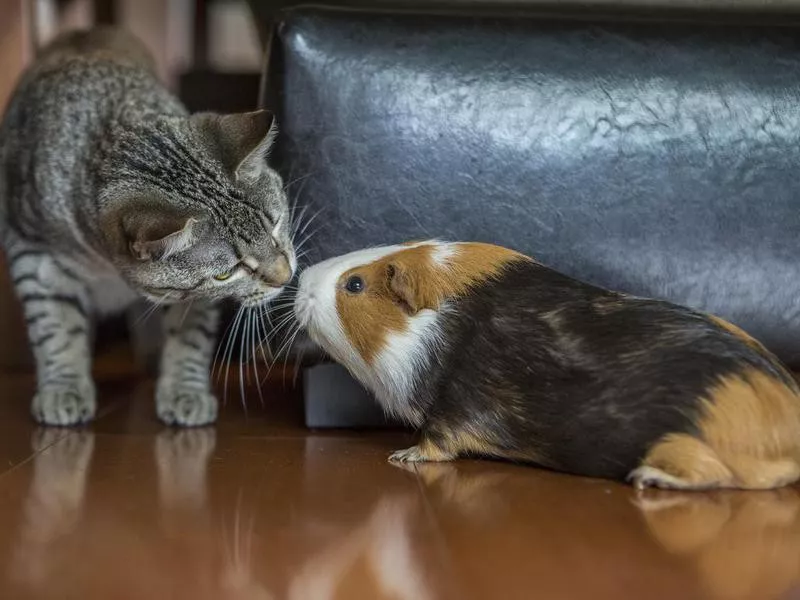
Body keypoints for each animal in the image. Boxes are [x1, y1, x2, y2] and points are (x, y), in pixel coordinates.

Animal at [0, 27, 296, 426]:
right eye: (226, 273)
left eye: (276, 224)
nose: (285, 276)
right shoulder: (33, 253)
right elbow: (56, 326)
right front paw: (65, 388)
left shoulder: (190, 298)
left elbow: (189, 335)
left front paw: (185, 389)